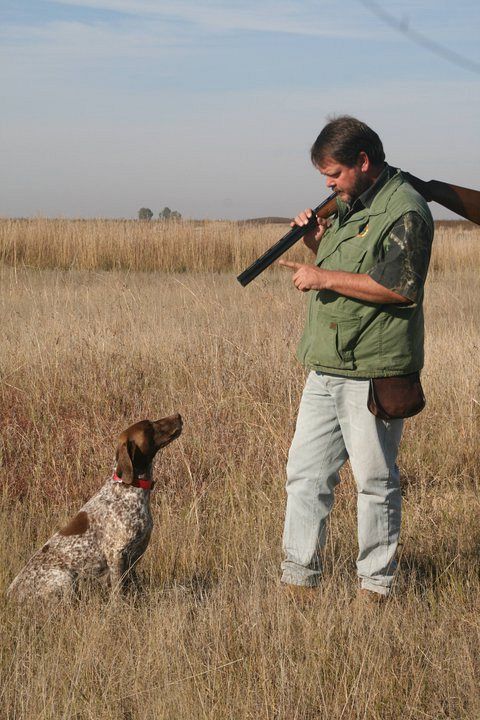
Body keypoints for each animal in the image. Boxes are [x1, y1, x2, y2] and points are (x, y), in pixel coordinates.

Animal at [7, 414, 182, 603]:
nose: (178, 416)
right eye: (149, 426)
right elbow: (118, 592)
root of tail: (10, 595)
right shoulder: (117, 554)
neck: (129, 488)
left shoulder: (134, 556)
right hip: (65, 577)